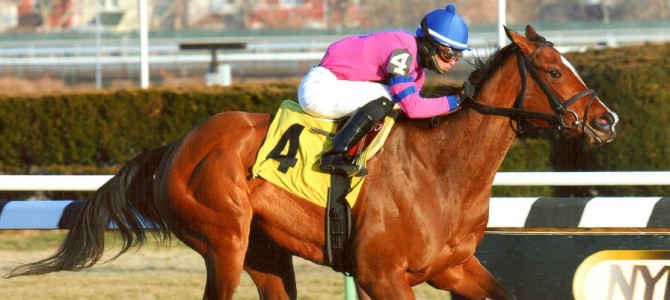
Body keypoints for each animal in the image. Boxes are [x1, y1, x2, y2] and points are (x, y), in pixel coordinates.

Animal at [9, 25, 620, 298]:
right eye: (555, 70)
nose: (607, 119)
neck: (442, 171)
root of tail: (175, 147)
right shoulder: (381, 275)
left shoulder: (453, 268)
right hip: (223, 241)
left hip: (265, 252)